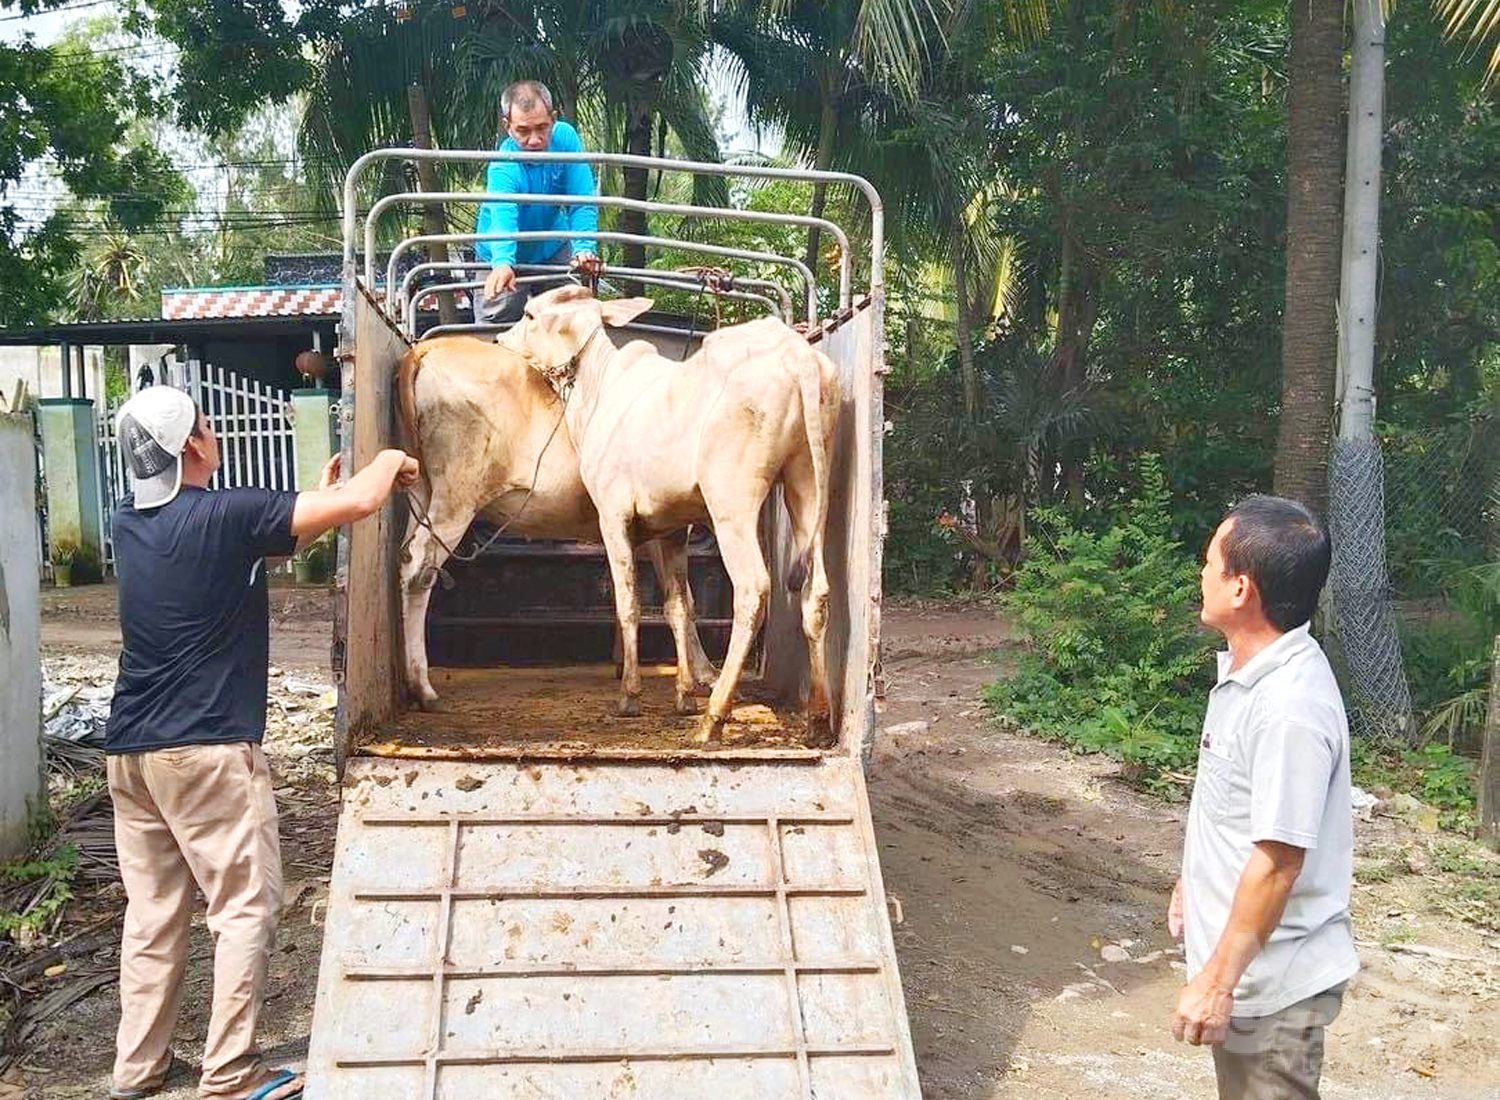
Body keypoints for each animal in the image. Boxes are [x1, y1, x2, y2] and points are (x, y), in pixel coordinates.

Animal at [501, 283, 840, 747]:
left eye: (531, 315)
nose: (500, 341)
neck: (597, 391)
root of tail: (798, 357)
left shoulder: (614, 516)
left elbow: (629, 603)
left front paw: (631, 696)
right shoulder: (672, 527)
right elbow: (679, 606)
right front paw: (683, 695)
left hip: (732, 502)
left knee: (753, 589)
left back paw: (714, 716)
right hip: (806, 481)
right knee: (816, 592)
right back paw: (819, 719)